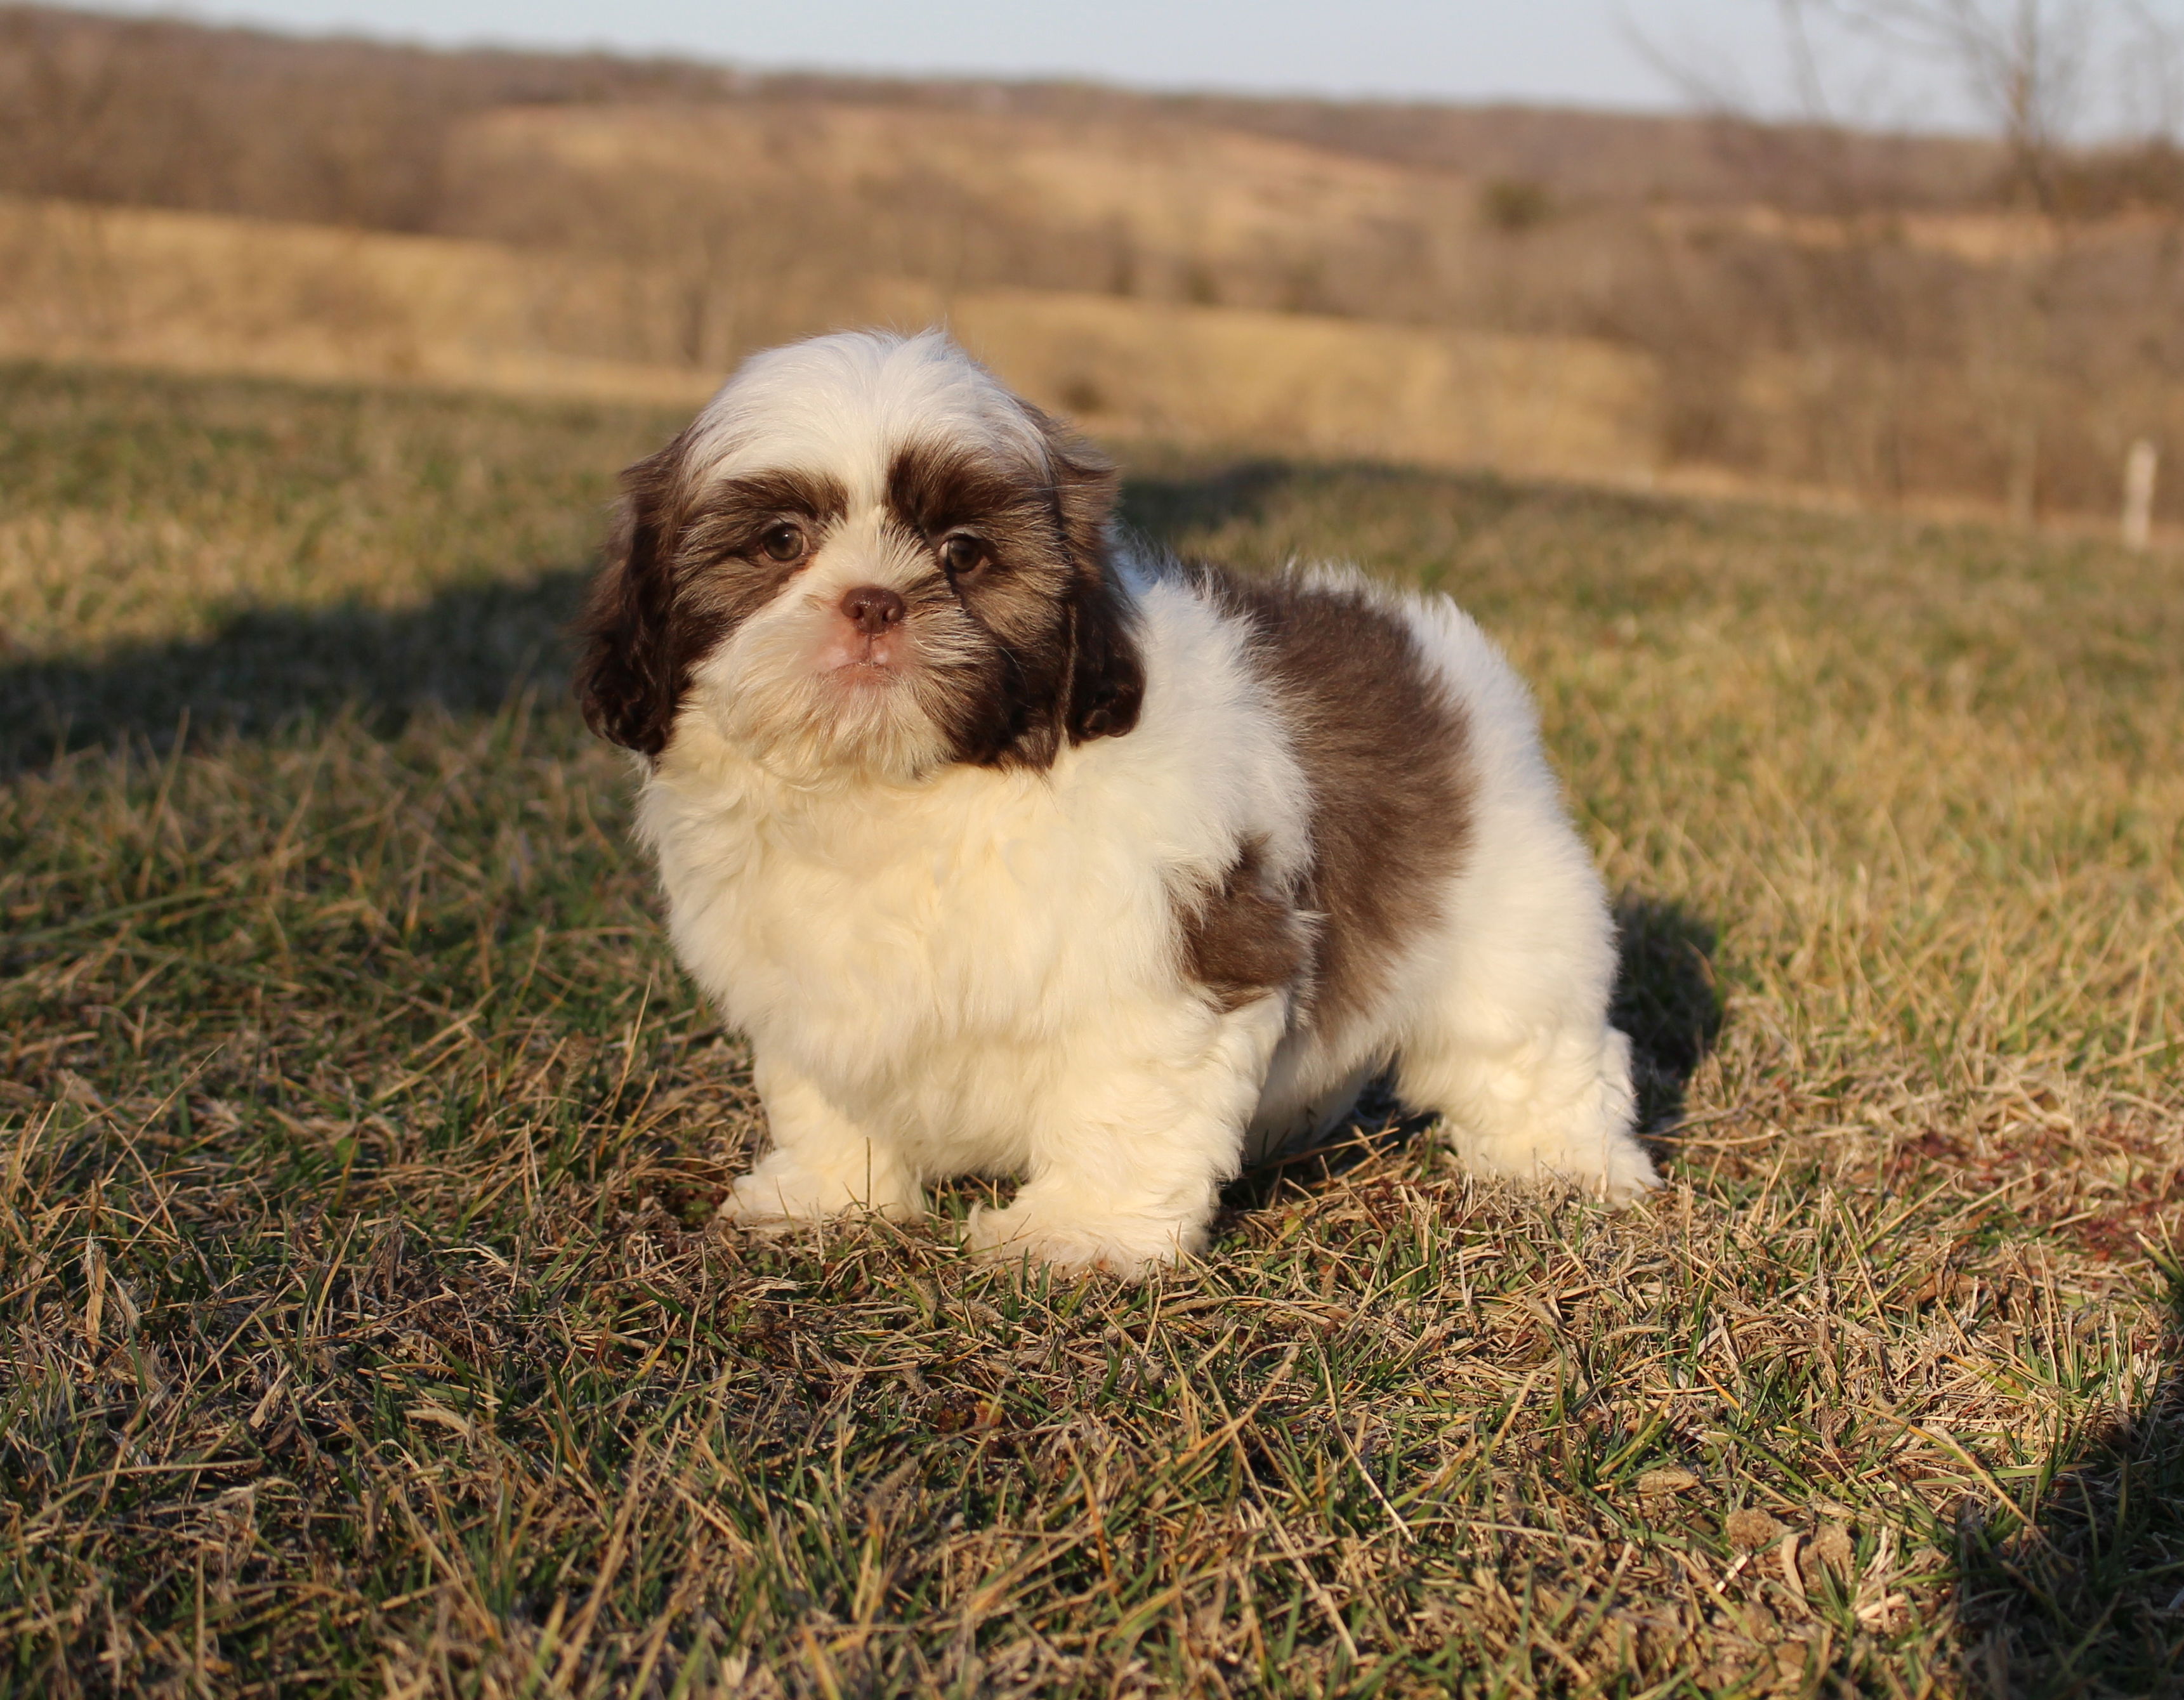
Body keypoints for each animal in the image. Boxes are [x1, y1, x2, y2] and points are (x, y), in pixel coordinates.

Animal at [574, 329, 1659, 1275]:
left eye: (962, 552)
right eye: (780, 540)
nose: (873, 602)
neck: (908, 788)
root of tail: (1422, 642)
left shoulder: (1177, 952)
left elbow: (1124, 1099)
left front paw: (1079, 1234)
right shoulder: (804, 982)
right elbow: (822, 1091)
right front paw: (829, 1196)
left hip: (1507, 922)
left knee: (1533, 1041)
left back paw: (1558, 1165)